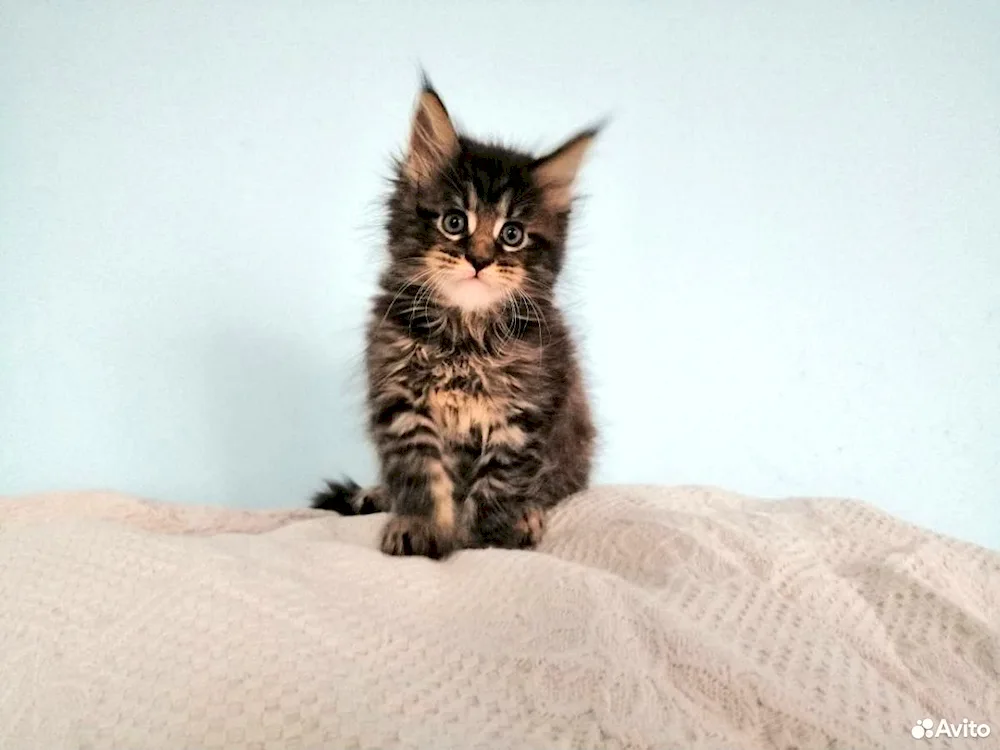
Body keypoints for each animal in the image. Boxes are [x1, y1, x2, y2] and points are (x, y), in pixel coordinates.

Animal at [310, 78, 592, 560]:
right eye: (454, 222)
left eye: (512, 234)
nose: (478, 260)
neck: (464, 334)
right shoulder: (401, 398)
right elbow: (420, 472)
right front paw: (420, 529)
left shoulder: (524, 409)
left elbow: (501, 481)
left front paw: (488, 538)